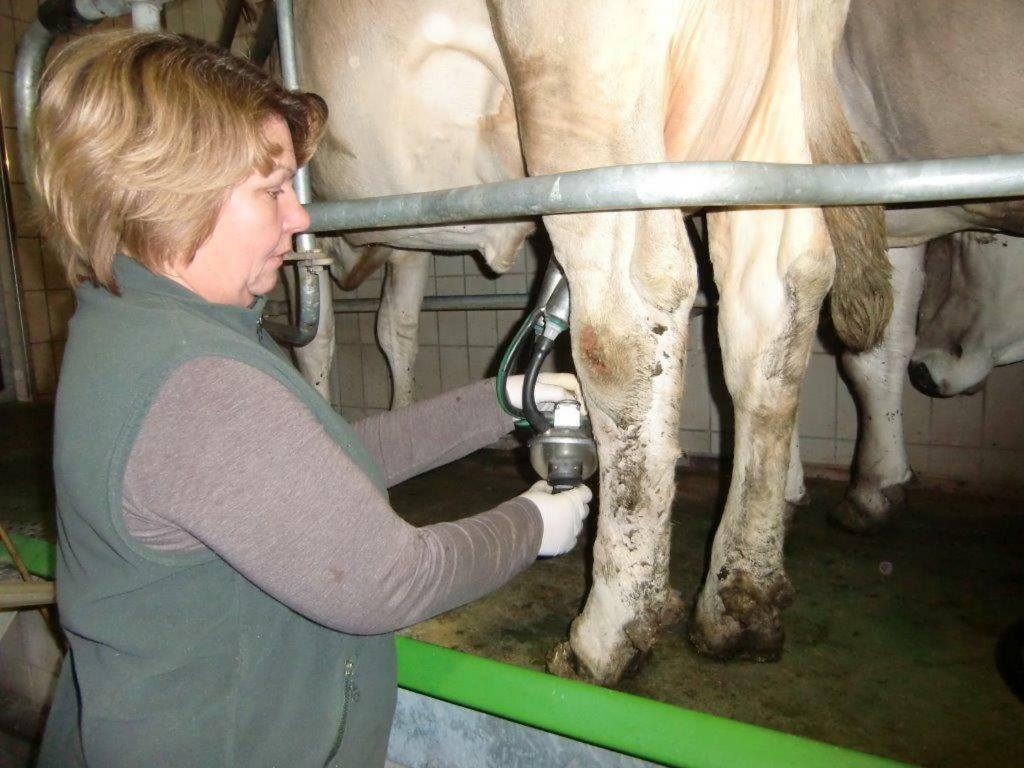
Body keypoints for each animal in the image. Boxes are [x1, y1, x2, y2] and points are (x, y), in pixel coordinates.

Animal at [296, 0, 888, 684]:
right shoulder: (406, 243)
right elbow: (397, 328)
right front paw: (398, 417)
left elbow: (318, 337)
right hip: (768, 139)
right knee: (775, 311)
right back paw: (740, 604)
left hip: (585, 112)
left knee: (627, 322)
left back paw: (607, 636)